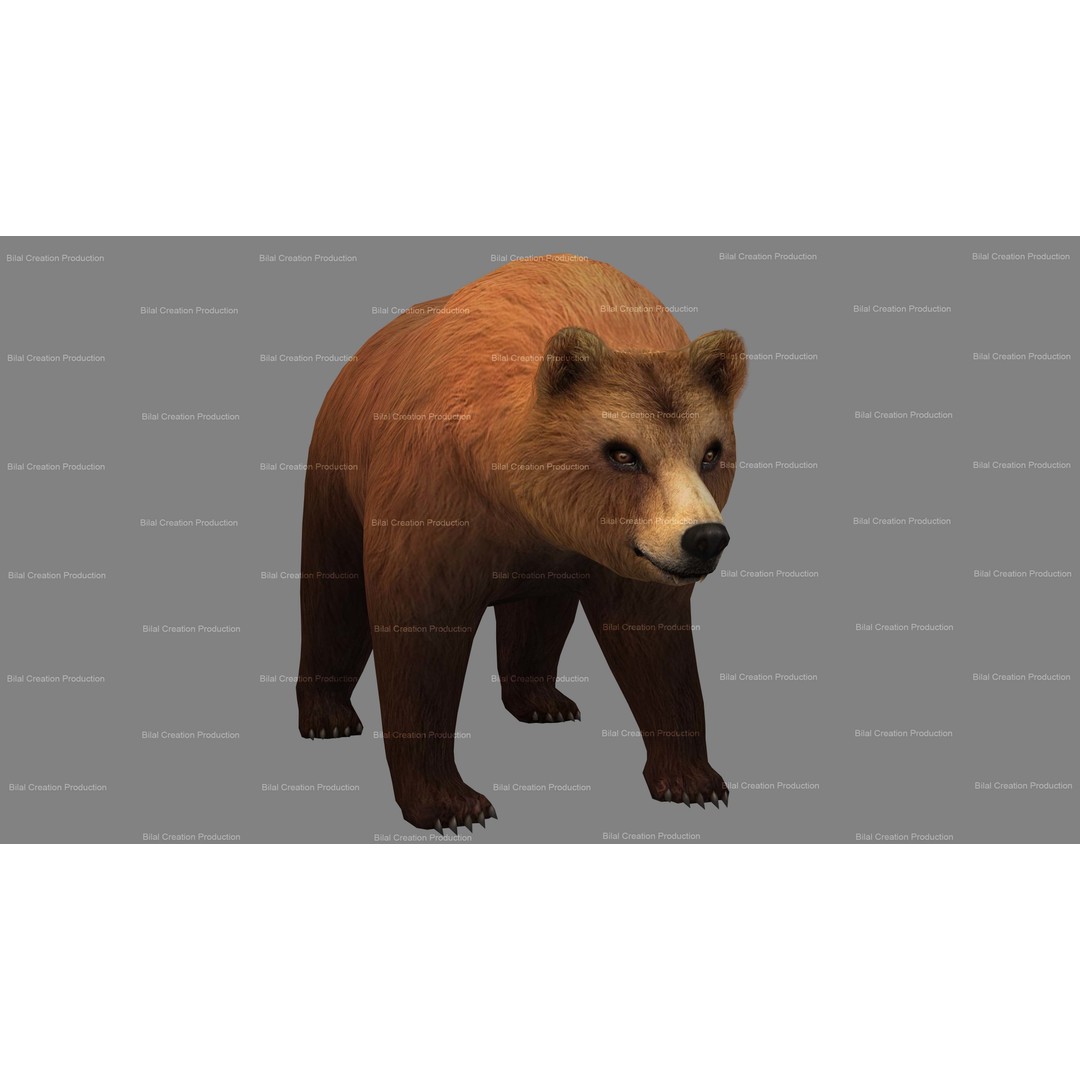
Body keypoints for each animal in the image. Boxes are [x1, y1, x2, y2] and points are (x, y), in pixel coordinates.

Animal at [297, 255, 747, 832]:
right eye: (623, 453)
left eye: (711, 451)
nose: (705, 538)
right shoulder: (434, 502)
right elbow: (420, 636)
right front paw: (452, 803)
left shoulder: (617, 554)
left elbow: (656, 643)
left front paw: (694, 780)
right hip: (337, 473)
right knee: (331, 593)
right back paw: (327, 715)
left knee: (540, 611)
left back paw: (542, 700)